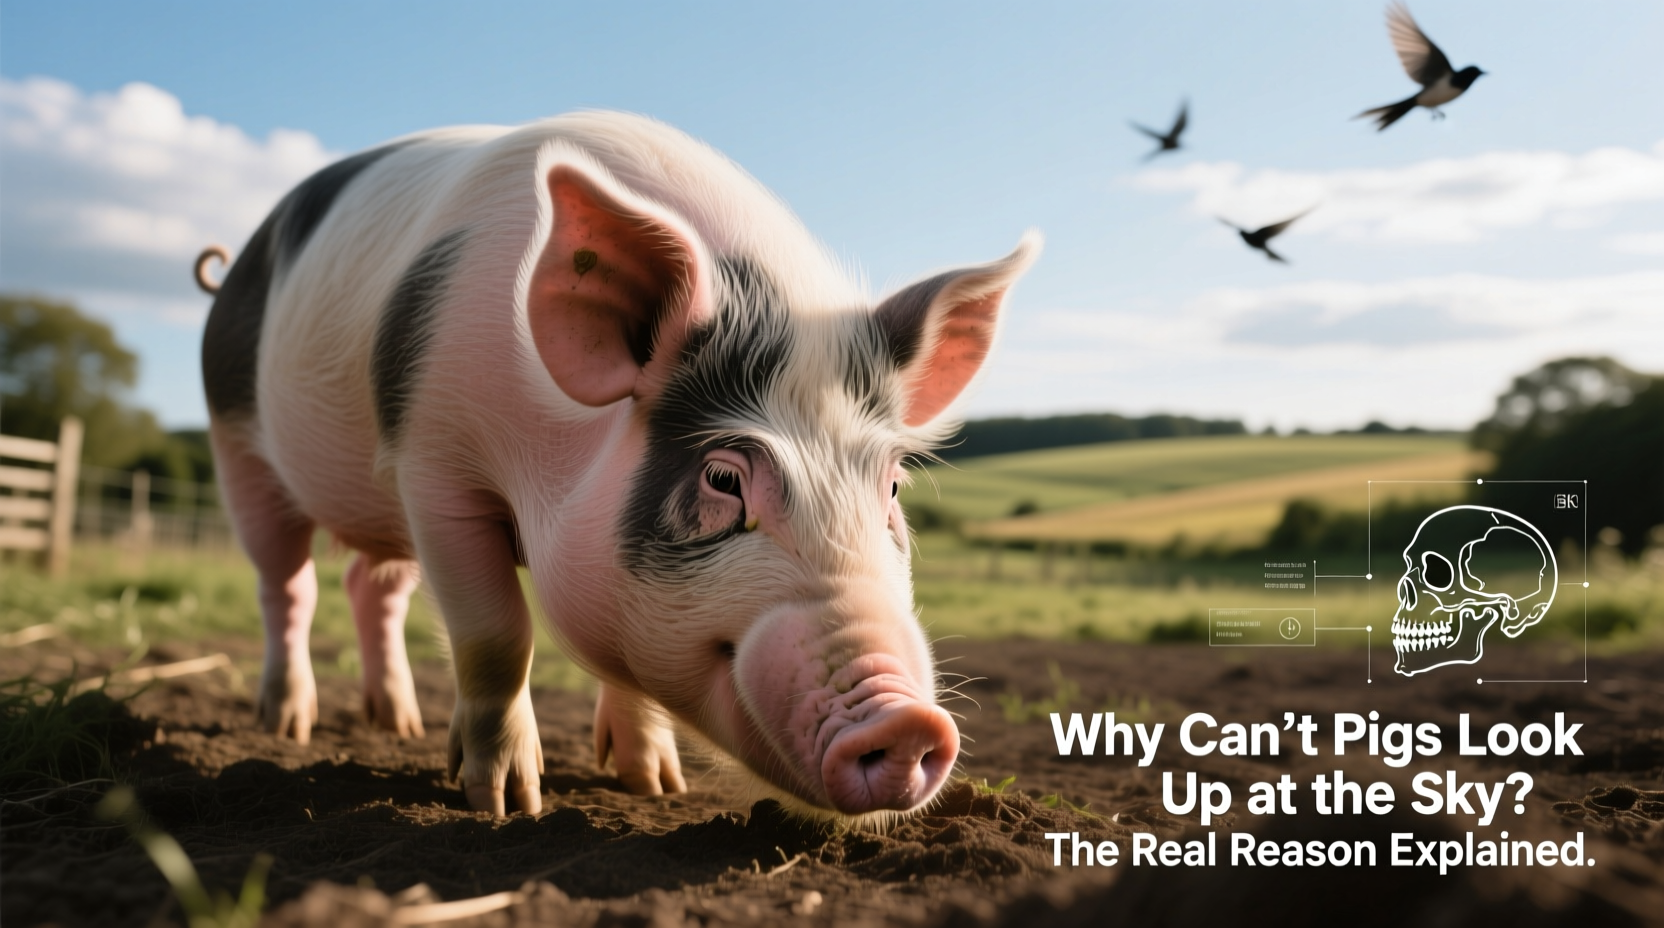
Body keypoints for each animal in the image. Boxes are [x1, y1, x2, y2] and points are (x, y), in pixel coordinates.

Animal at [198, 111, 1038, 818]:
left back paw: (397, 726)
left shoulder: (426, 484)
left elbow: (625, 662)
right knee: (288, 583)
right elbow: (496, 635)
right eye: (723, 480)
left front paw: (654, 786)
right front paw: (507, 805)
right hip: (236, 438)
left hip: (380, 502)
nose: (909, 720)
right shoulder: (437, 466)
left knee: (369, 586)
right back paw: (287, 725)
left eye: (892, 485)